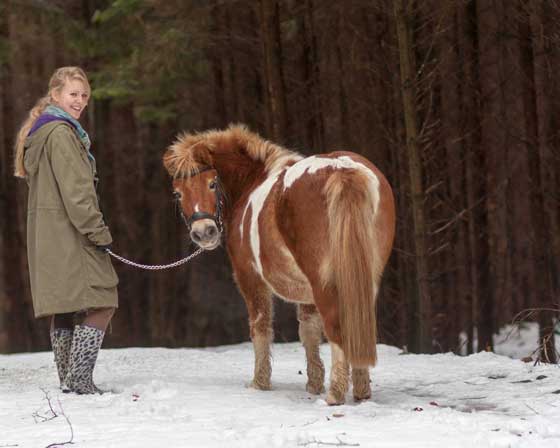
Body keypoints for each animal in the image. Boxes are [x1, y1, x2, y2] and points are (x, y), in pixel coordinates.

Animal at [164, 124, 396, 404]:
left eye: (212, 183)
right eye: (178, 193)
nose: (204, 233)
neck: (251, 182)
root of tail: (341, 169)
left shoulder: (250, 279)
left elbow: (261, 327)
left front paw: (260, 382)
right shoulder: (306, 294)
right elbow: (308, 331)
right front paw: (313, 383)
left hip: (324, 283)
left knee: (337, 328)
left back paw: (335, 394)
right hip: (365, 278)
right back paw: (361, 391)